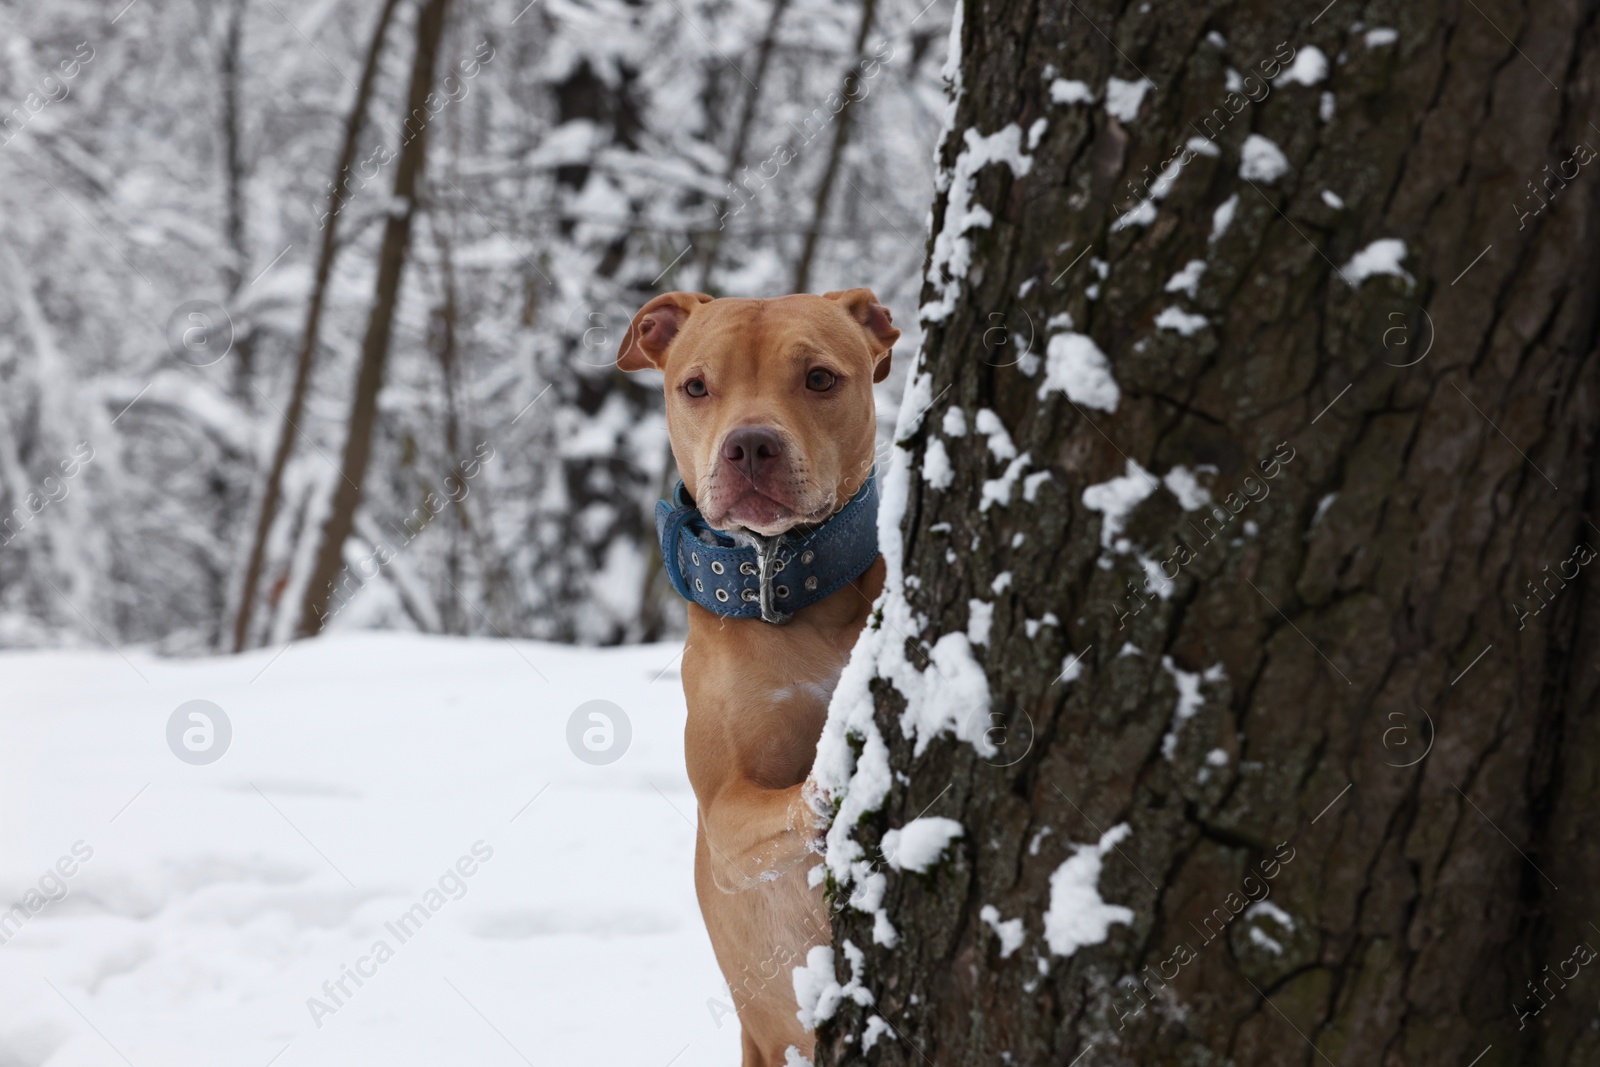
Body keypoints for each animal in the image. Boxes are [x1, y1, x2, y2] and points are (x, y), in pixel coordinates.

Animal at [614, 292, 896, 1067]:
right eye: (696, 386)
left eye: (820, 379)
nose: (749, 445)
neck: (790, 583)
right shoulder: (724, 815)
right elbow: (777, 806)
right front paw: (836, 775)